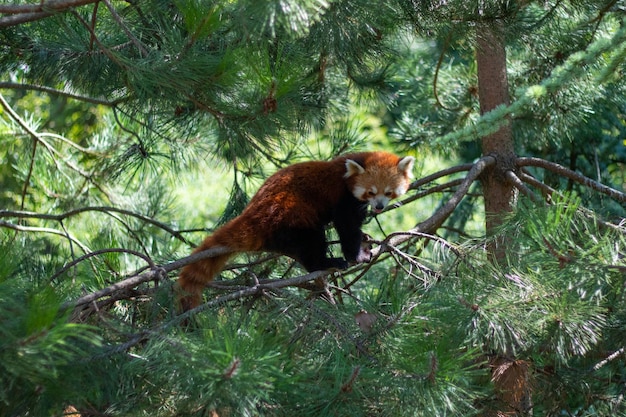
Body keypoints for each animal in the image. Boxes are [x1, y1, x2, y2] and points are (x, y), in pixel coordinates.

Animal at [176, 151, 412, 310]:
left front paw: (364, 239)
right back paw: (324, 262)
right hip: (290, 215)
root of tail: (253, 212)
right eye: (371, 192)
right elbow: (346, 226)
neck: (346, 172)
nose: (379, 206)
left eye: (388, 192)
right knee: (312, 241)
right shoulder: (343, 199)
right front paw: (356, 254)